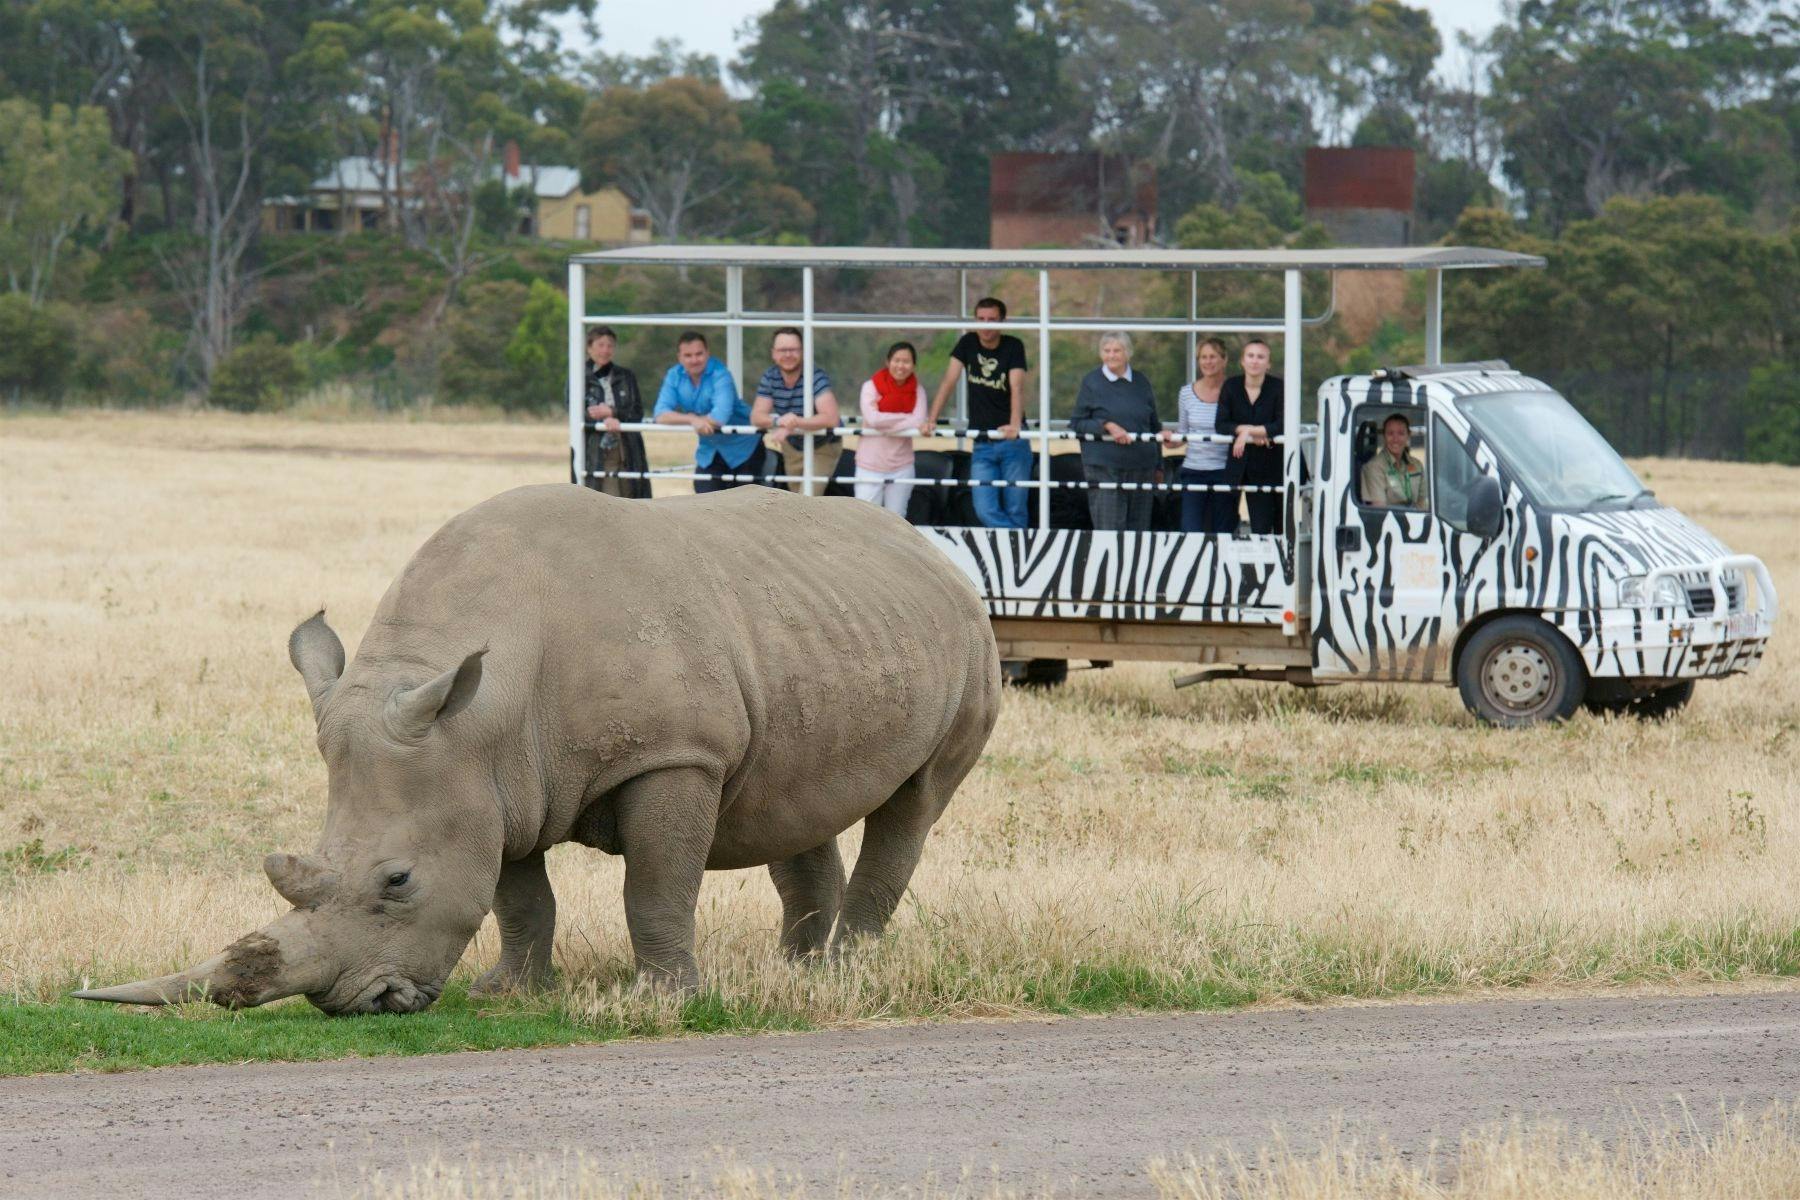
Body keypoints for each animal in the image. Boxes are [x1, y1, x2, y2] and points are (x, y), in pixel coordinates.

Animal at [76, 484, 1000, 1014]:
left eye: (397, 882)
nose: (355, 1002)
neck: (485, 707)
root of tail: (924, 544)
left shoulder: (674, 753)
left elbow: (655, 885)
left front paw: (663, 1002)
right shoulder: (494, 779)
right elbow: (519, 897)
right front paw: (506, 992)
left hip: (968, 638)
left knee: (915, 802)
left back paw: (844, 975)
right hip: (824, 622)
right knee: (797, 802)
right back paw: (797, 980)